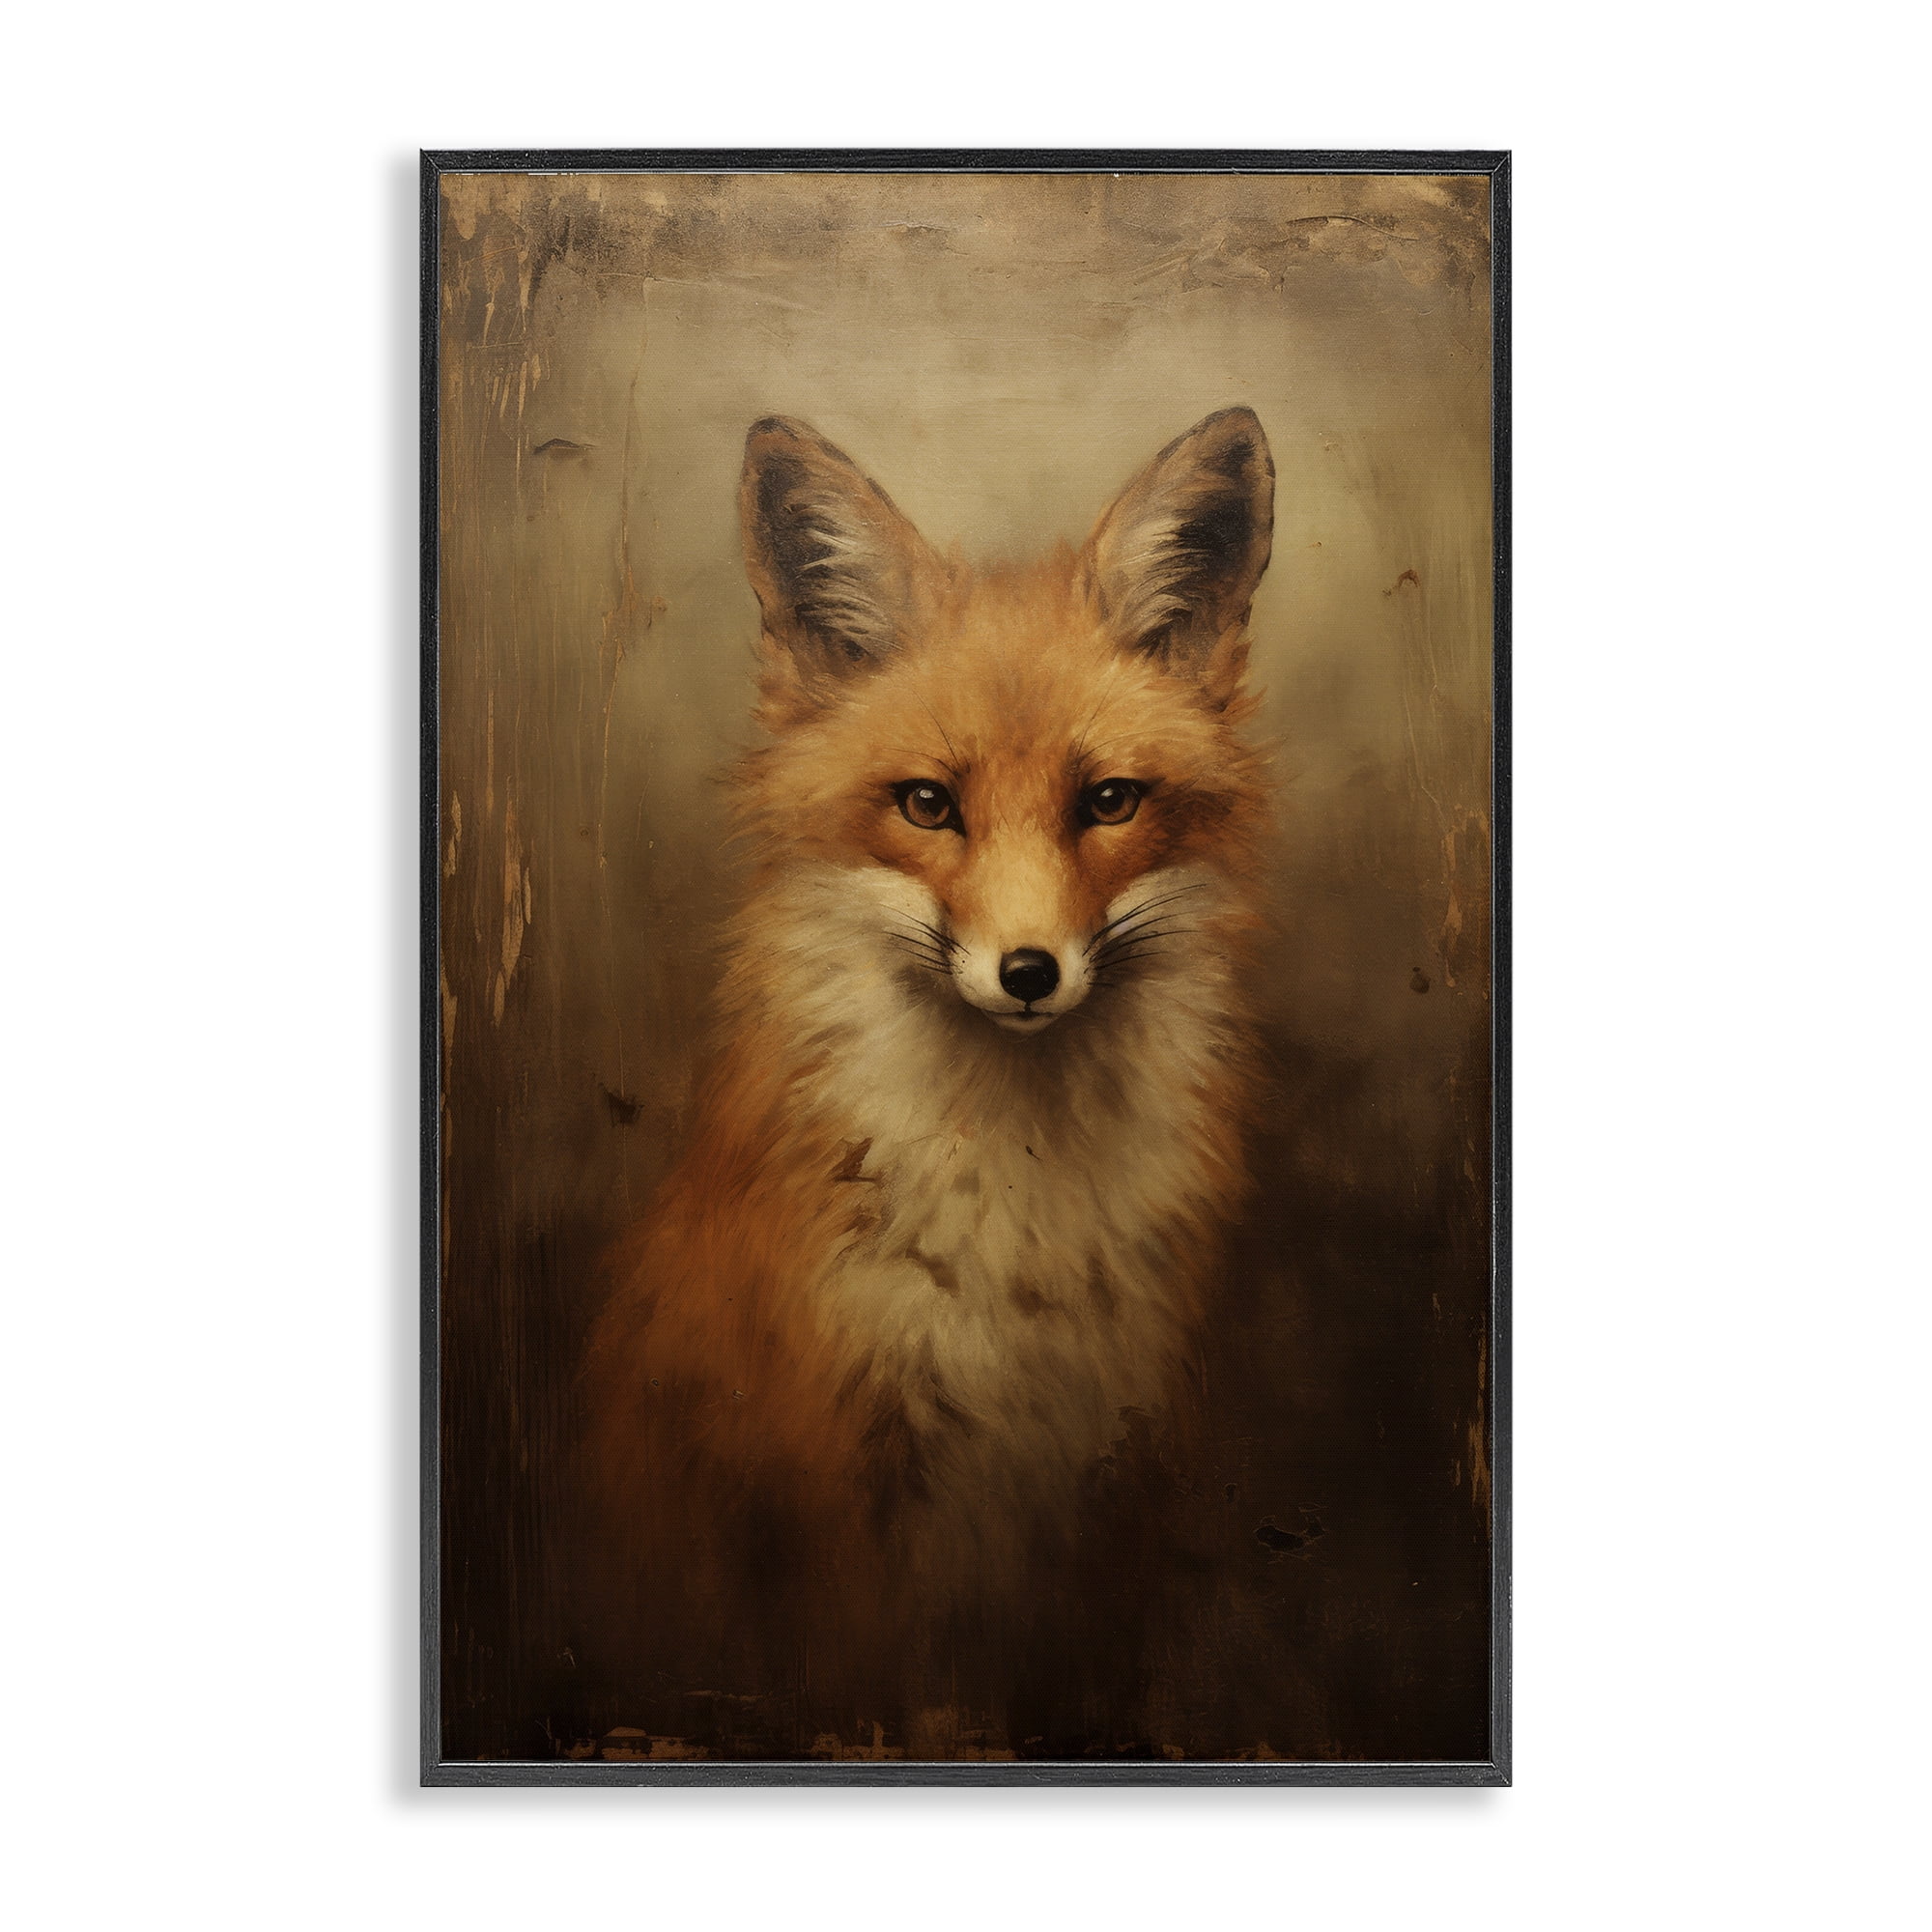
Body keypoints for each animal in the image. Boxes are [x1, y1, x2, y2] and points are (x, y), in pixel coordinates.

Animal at [581, 407, 1277, 1708]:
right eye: (925, 804)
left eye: (1109, 801)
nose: (1027, 971)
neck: (1018, 1224)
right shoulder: (835, 1476)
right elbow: (883, 1692)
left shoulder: (1118, 1460)